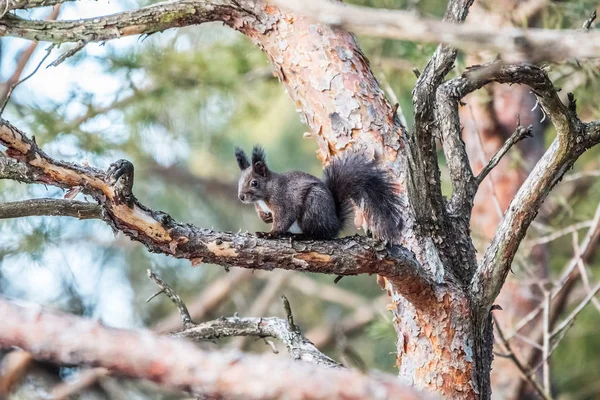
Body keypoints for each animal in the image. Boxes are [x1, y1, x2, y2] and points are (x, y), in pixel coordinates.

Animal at [234, 145, 404, 242]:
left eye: (254, 183)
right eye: (240, 181)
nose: (241, 197)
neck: (264, 195)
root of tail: (335, 224)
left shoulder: (283, 200)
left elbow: (284, 219)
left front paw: (269, 234)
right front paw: (266, 218)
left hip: (313, 207)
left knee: (318, 234)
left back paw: (300, 236)